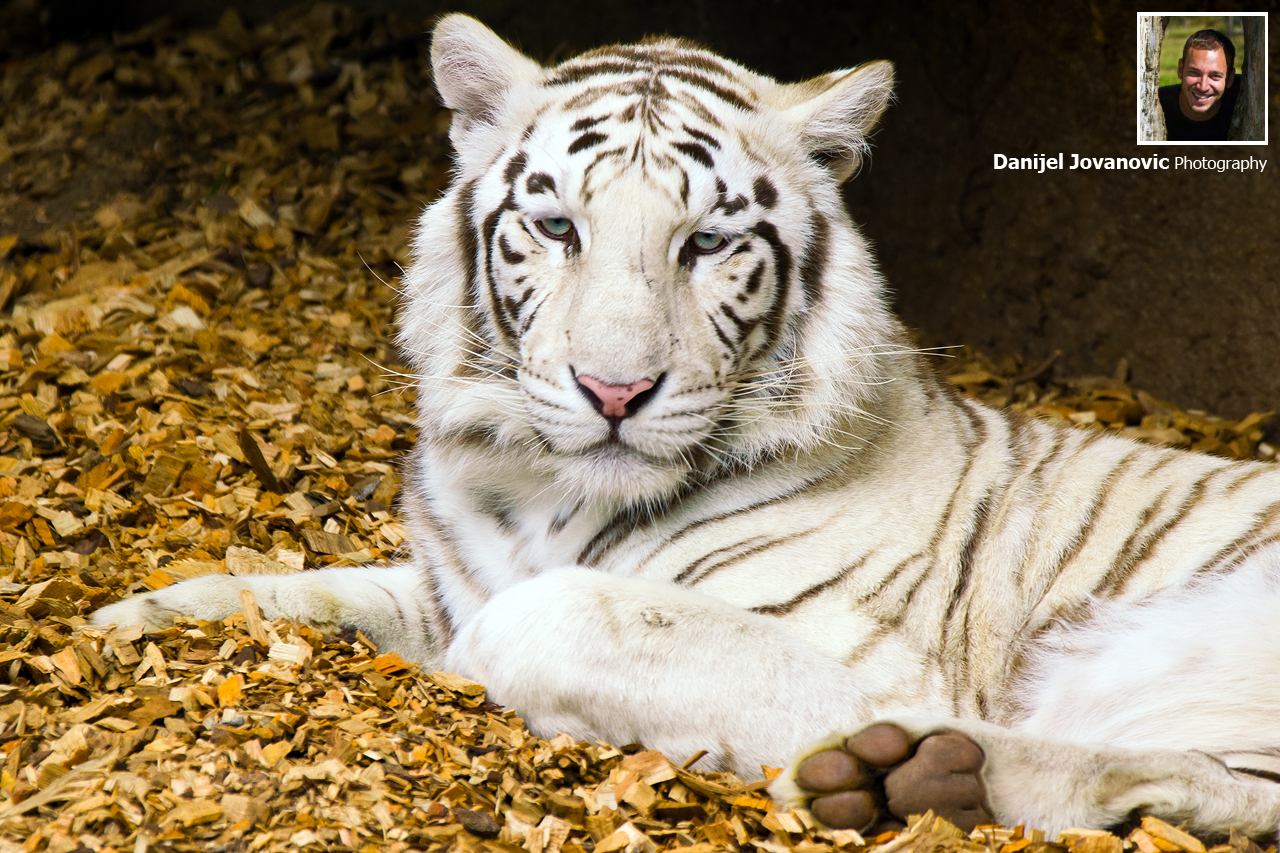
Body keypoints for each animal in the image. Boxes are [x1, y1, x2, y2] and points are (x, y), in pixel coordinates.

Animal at [94, 16, 1280, 835]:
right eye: (555, 226)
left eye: (707, 242)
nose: (613, 391)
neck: (538, 493)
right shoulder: (441, 581)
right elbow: (299, 590)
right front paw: (128, 622)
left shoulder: (859, 650)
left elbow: (566, 617)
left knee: (1205, 780)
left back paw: (907, 776)